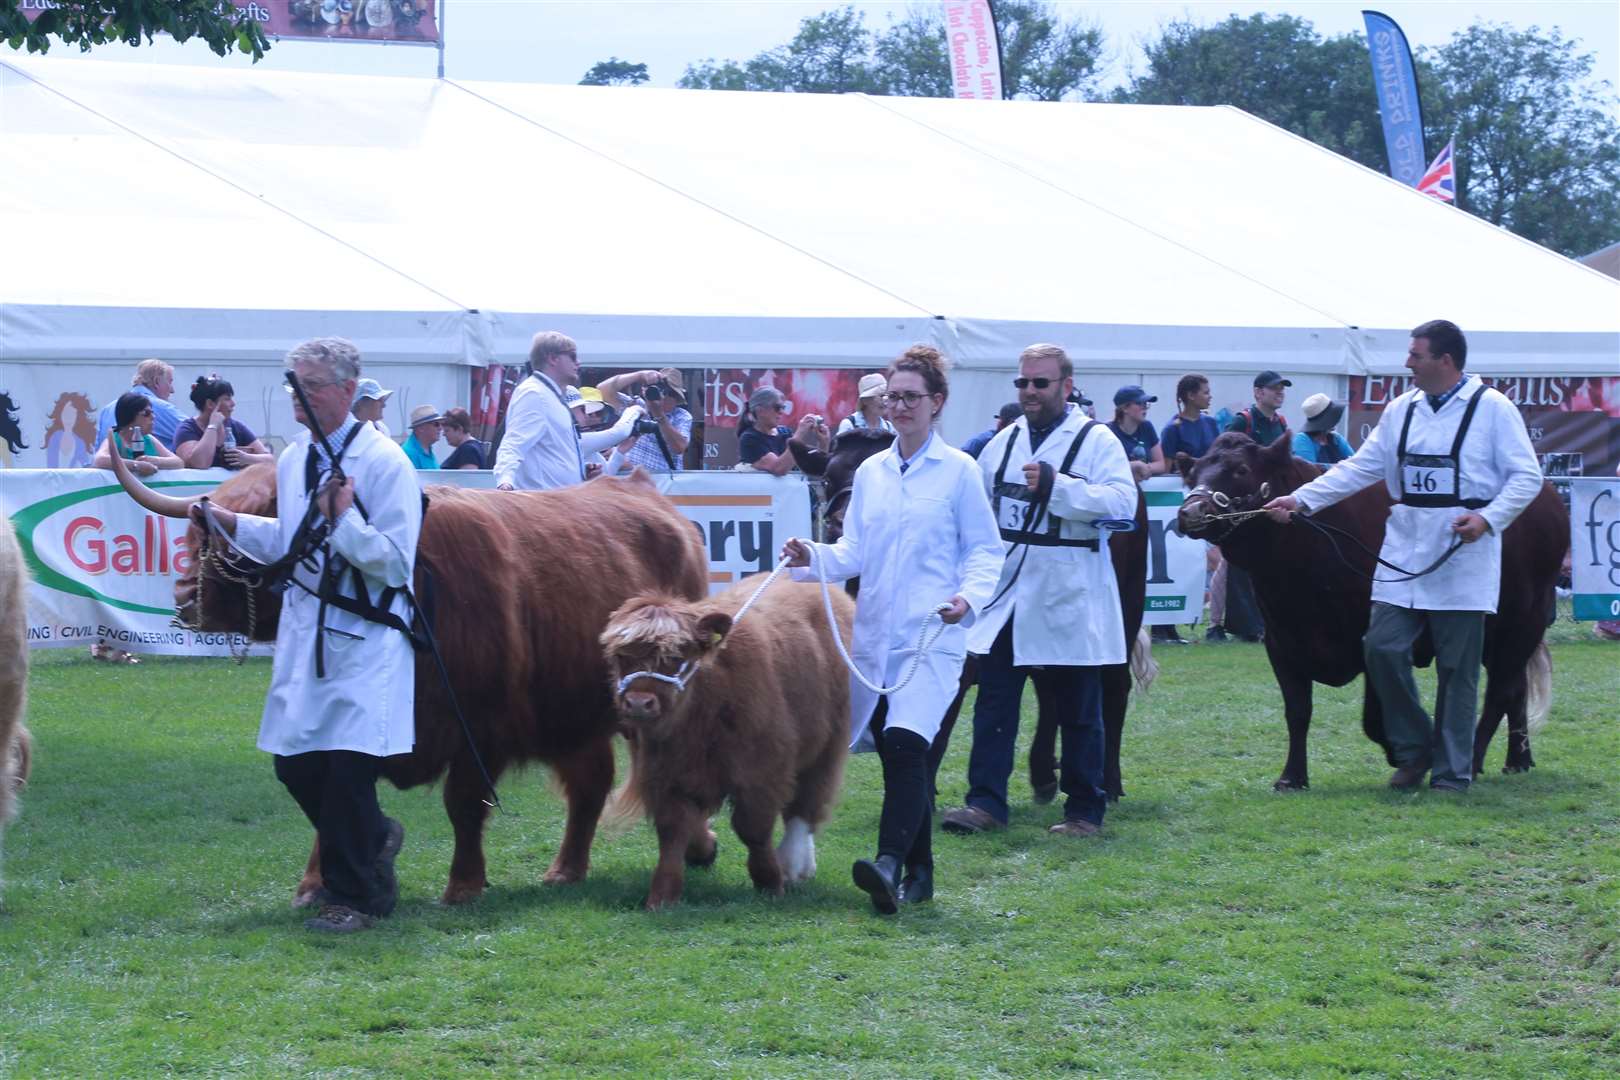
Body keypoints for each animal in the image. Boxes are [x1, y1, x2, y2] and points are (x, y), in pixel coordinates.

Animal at [114, 459, 709, 906]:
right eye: (193, 535)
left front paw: (464, 884)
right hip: (568, 712)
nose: (184, 598)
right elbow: (331, 802)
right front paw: (317, 884)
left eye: (240, 542)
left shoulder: (482, 726)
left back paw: (697, 846)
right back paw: (566, 869)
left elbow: (462, 803)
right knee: (589, 782)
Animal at [602, 579, 855, 906]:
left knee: (805, 806)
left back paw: (793, 864)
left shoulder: (762, 772)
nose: (637, 703)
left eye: (676, 657)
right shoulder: (667, 775)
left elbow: (753, 828)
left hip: (827, 744)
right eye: (621, 656)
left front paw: (770, 881)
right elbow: (672, 832)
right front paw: (663, 895)